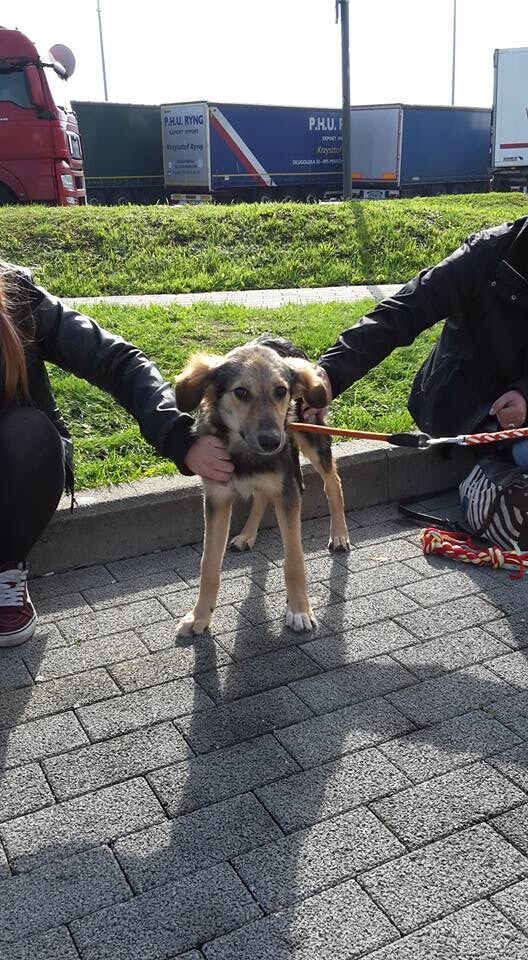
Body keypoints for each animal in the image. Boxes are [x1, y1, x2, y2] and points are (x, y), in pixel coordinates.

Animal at [174, 336, 349, 637]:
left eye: (281, 391)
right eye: (241, 392)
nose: (272, 442)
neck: (245, 451)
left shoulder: (288, 492)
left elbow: (294, 560)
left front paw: (299, 610)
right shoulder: (217, 497)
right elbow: (209, 564)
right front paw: (199, 615)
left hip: (312, 435)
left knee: (333, 482)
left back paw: (339, 535)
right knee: (261, 496)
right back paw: (247, 535)